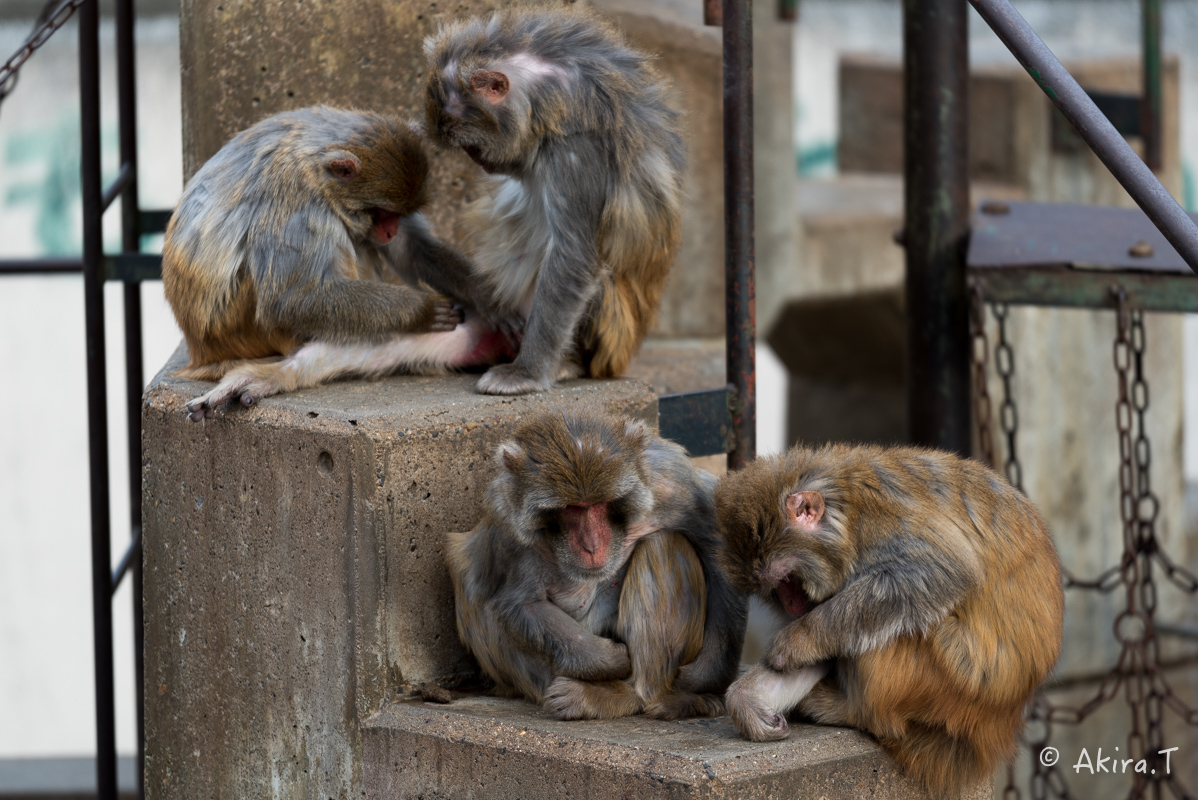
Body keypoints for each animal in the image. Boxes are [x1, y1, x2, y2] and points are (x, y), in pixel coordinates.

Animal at [160, 105, 510, 419]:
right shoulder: (301, 202)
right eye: (380, 212)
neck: (316, 160)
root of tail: (201, 353)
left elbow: (413, 249)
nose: (389, 230)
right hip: (250, 333)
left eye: (396, 214)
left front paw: (488, 298)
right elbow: (288, 302)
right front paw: (421, 311)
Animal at [421, 5, 685, 392]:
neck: (549, 96)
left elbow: (573, 255)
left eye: (471, 147)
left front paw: (528, 371)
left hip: (610, 344)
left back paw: (566, 363)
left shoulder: (578, 147)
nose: (480, 163)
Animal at [450, 411, 747, 718]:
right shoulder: (511, 522)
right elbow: (521, 603)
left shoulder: (674, 484)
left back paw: (633, 695)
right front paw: (612, 659)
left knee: (663, 543)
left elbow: (719, 552)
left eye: (599, 504)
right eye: (570, 509)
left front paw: (708, 673)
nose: (591, 546)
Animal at [714, 447, 1063, 795]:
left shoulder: (886, 523)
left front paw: (798, 640)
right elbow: (822, 653)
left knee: (903, 619)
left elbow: (939, 573)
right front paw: (747, 700)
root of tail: (1000, 718)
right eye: (774, 590)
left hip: (948, 680)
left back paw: (854, 710)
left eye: (787, 580)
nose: (790, 604)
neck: (846, 509)